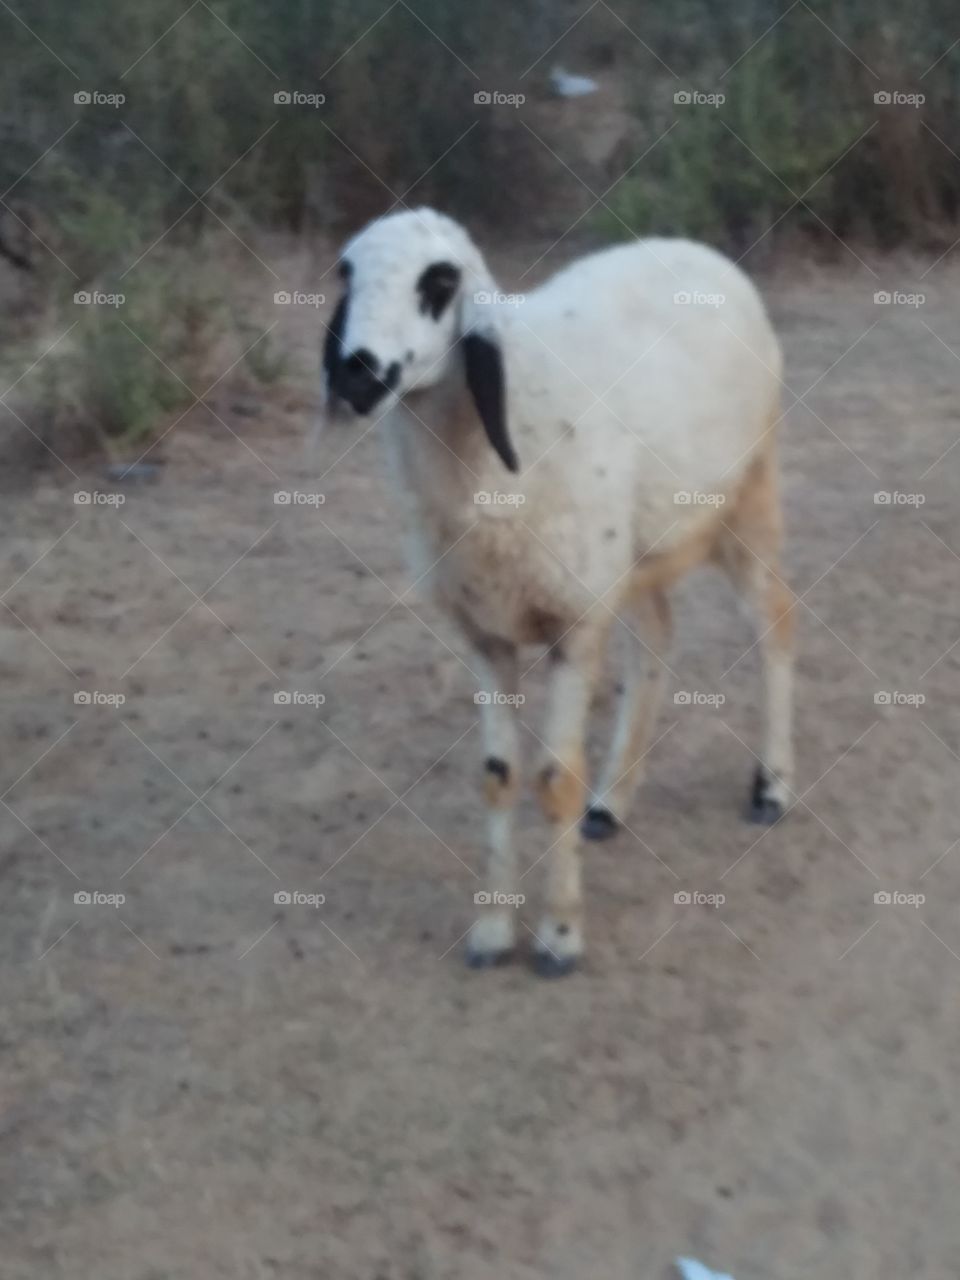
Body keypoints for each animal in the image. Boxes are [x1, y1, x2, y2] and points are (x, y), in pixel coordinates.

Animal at [323, 206, 795, 977]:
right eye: (346, 274)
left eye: (440, 281)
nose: (353, 375)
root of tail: (698, 250)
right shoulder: (486, 630)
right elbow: (497, 776)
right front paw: (491, 932)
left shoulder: (573, 626)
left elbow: (554, 781)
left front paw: (560, 937)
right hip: (628, 554)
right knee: (656, 639)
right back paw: (611, 803)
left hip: (748, 494)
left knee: (776, 624)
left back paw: (772, 787)